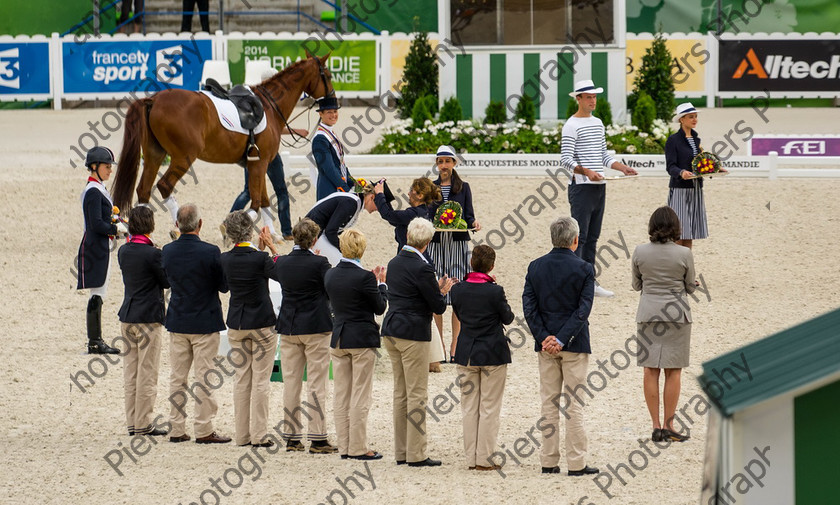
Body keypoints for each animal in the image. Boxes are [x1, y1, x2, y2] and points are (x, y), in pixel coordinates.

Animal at [112, 53, 334, 222]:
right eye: (329, 76)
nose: (333, 101)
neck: (270, 106)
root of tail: (154, 99)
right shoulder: (260, 163)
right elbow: (255, 207)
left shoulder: (258, 164)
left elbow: (264, 203)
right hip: (183, 157)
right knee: (164, 186)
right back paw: (177, 229)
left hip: (155, 154)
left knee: (143, 190)